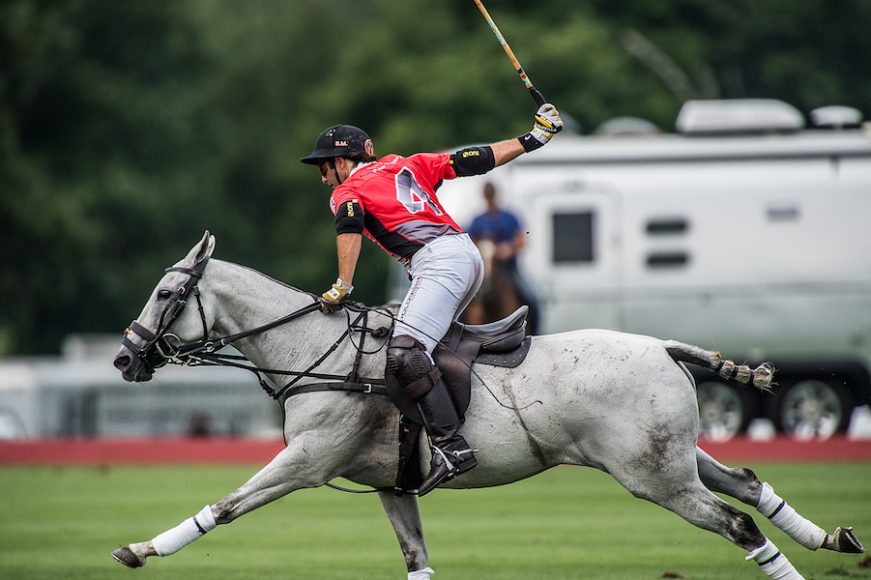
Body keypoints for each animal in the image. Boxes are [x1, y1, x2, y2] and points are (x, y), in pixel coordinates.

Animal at [112, 232, 860, 580]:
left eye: (165, 294)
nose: (125, 358)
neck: (315, 352)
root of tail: (666, 347)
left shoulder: (307, 460)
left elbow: (226, 504)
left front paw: (140, 547)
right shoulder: (391, 485)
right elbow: (416, 560)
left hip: (651, 476)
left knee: (738, 524)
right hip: (669, 456)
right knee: (748, 483)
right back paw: (832, 538)